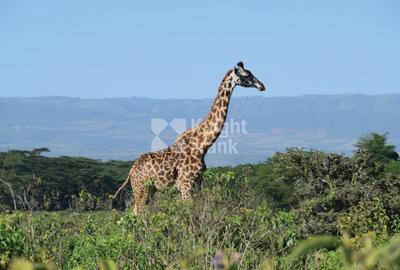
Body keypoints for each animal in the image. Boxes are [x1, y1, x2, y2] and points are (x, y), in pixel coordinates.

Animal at [114, 62, 266, 214]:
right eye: (247, 75)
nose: (262, 86)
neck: (202, 145)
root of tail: (131, 171)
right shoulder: (185, 184)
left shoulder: (197, 183)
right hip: (141, 189)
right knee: (138, 213)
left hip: (150, 189)